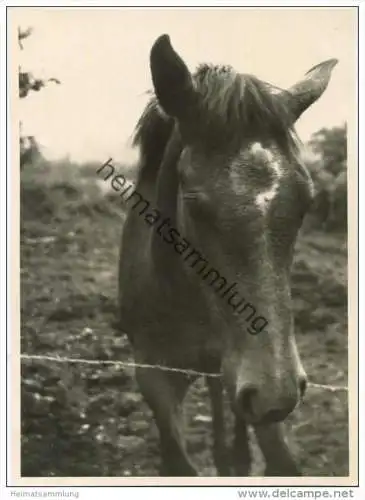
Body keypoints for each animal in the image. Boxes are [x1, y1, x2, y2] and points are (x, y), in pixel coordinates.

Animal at [115, 35, 336, 476]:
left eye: (307, 201)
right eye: (194, 204)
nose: (276, 393)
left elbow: (281, 459)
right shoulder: (152, 374)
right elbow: (178, 462)